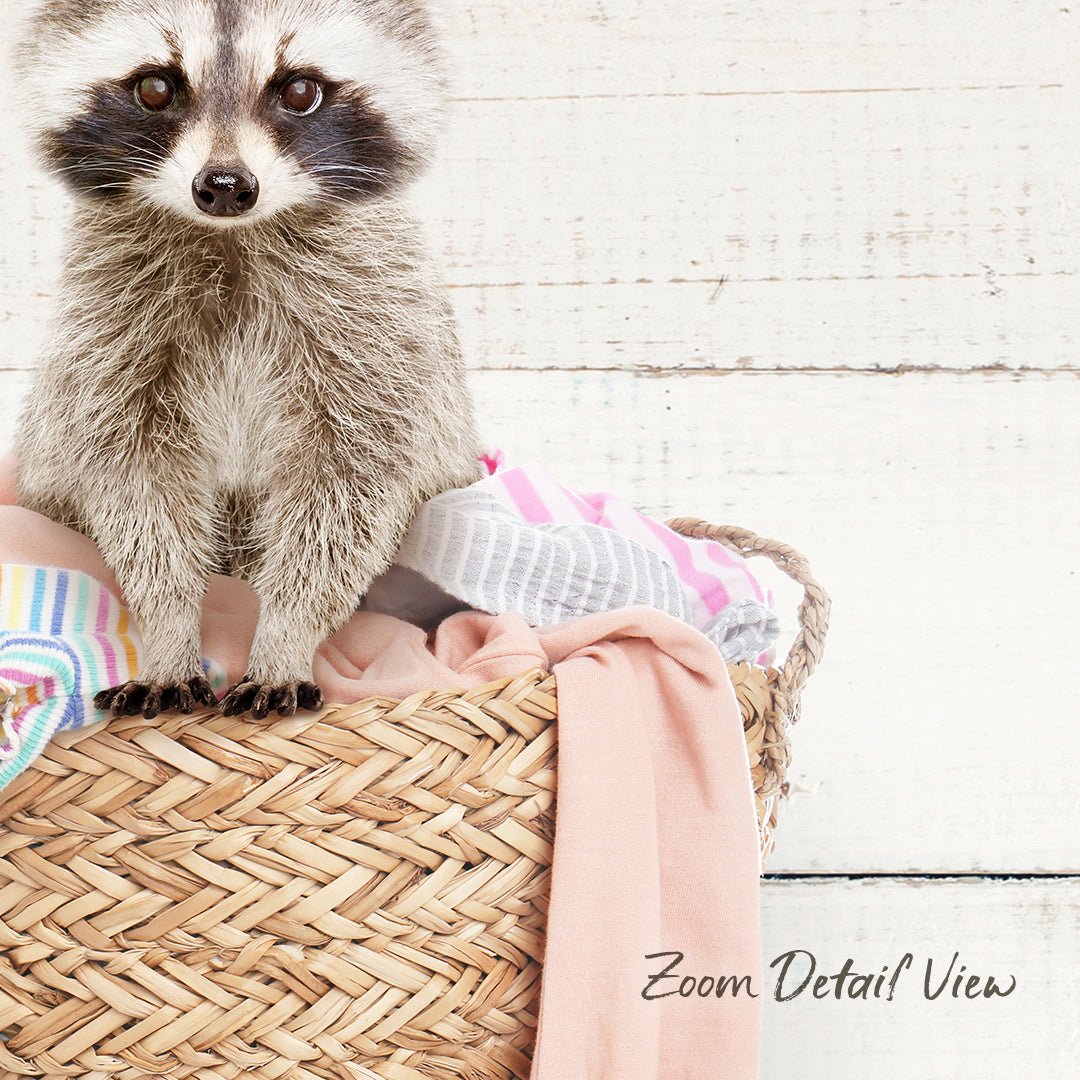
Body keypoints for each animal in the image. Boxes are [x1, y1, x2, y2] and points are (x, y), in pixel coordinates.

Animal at [12, 0, 481, 720]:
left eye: (300, 90)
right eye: (156, 87)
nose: (227, 185)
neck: (232, 237)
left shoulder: (379, 331)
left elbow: (348, 493)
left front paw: (286, 634)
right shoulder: (106, 332)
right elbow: (135, 488)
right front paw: (169, 630)